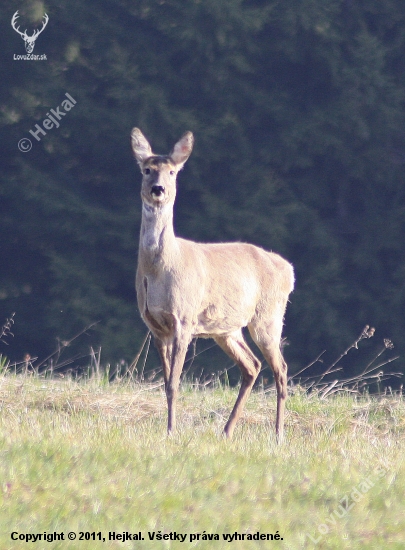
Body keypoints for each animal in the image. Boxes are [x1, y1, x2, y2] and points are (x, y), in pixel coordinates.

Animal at [133, 127, 294, 442]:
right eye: (146, 170)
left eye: (172, 172)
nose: (158, 189)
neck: (160, 269)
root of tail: (288, 270)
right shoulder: (155, 326)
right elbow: (166, 382)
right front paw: (169, 429)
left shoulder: (183, 319)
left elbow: (174, 383)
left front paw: (171, 431)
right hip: (227, 329)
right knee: (252, 366)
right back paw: (227, 430)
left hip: (267, 317)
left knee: (281, 369)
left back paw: (279, 435)